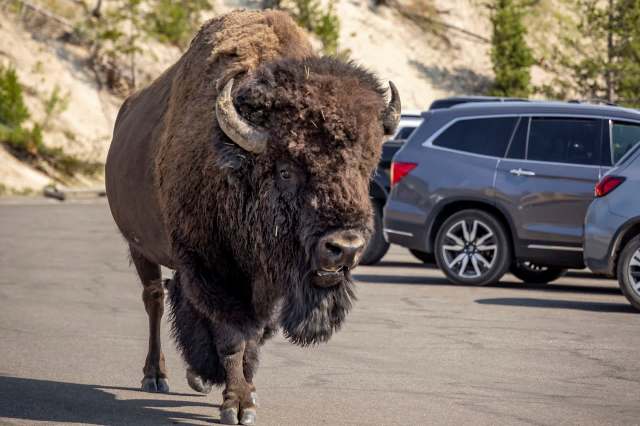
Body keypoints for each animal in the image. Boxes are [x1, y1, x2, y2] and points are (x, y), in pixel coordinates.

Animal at [105, 9, 400, 425]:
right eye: (286, 171)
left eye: (367, 167)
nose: (344, 247)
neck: (237, 167)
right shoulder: (215, 270)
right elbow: (234, 334)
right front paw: (239, 405)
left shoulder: (267, 283)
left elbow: (254, 335)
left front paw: (243, 386)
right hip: (140, 246)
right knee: (155, 299)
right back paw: (155, 376)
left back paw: (197, 375)